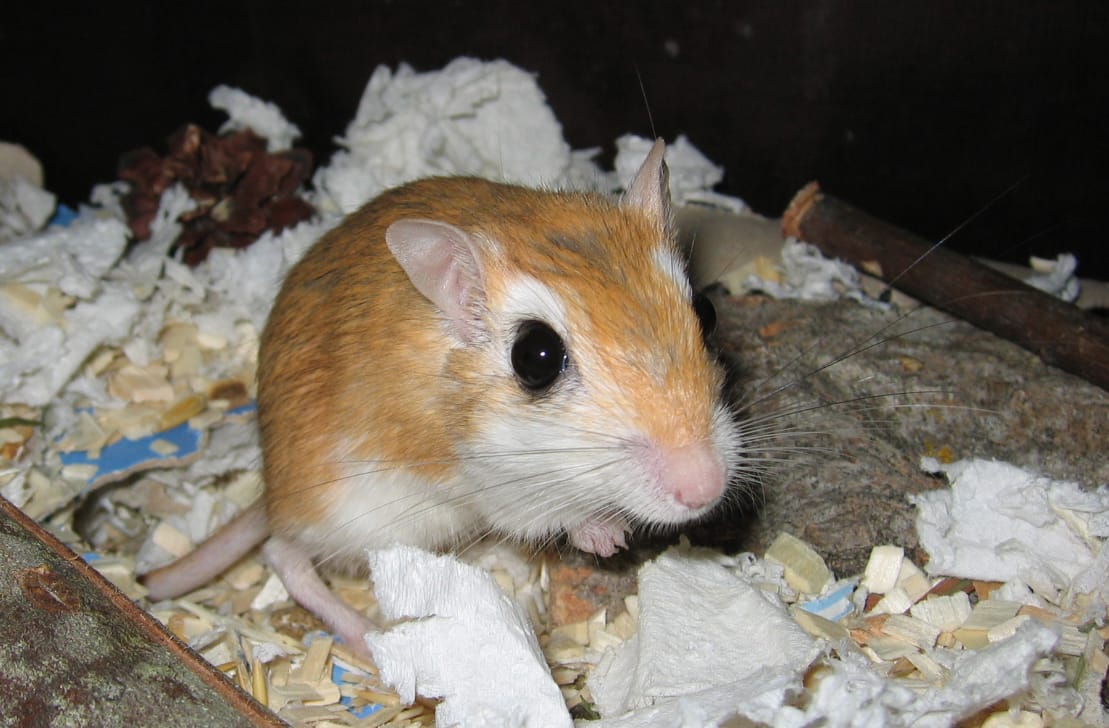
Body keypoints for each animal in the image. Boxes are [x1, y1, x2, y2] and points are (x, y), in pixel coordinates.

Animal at [141, 140, 742, 653]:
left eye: (707, 312)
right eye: (536, 358)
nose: (705, 489)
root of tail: (270, 492)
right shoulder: (500, 489)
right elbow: (558, 514)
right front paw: (607, 536)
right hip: (350, 514)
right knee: (282, 555)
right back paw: (370, 638)